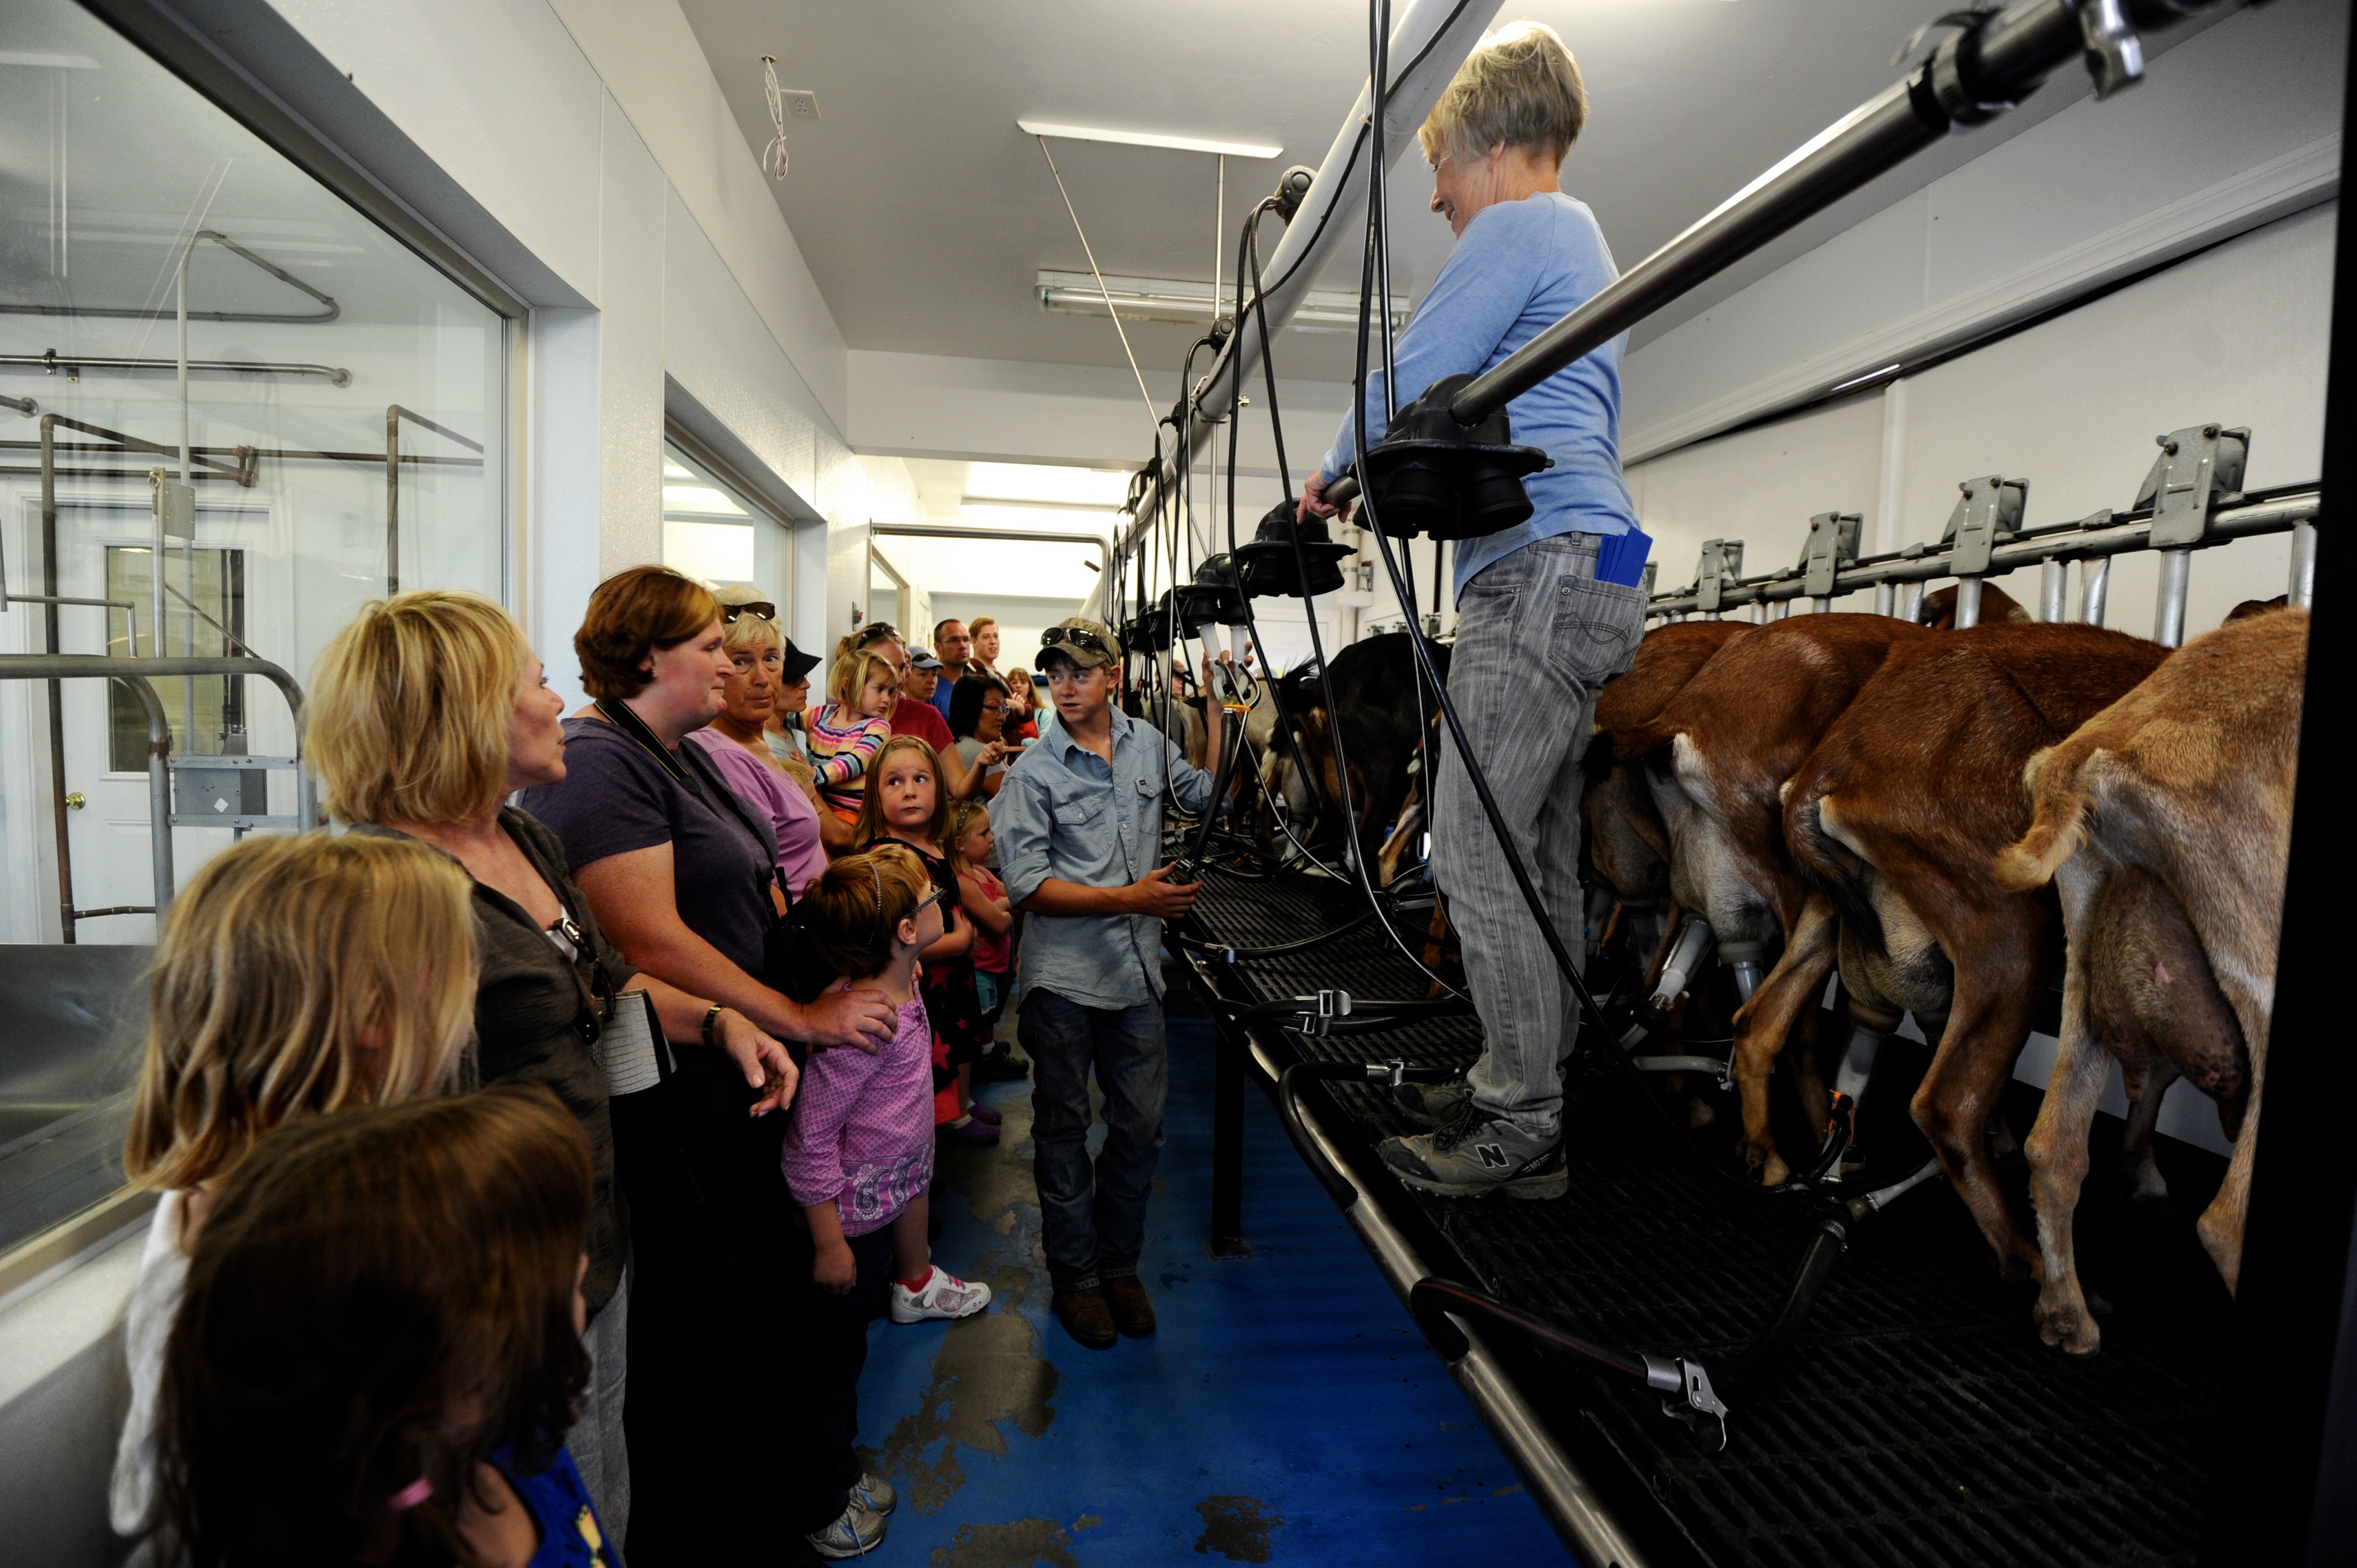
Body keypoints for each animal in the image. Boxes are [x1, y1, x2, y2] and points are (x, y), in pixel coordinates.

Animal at [1780, 622, 2170, 1272]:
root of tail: (1827, 770)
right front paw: (2141, 1177)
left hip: (1838, 923)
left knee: (1762, 1020)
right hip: (2014, 929)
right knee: (1943, 1104)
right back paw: (2028, 1261)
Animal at [1995, 609, 2304, 1354]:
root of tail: (2087, 753)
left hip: (2083, 941)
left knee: (2053, 1146)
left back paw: (2067, 1317)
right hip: (2262, 963)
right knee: (2225, 1222)